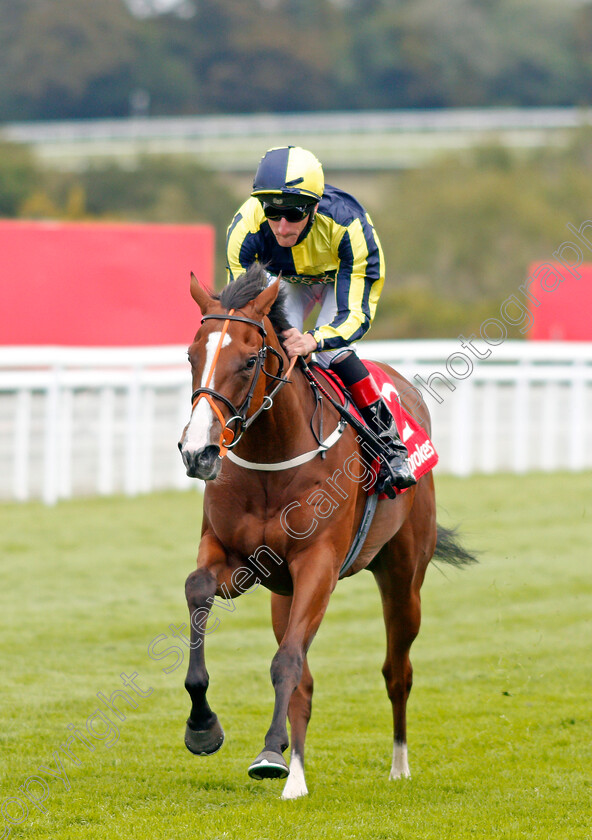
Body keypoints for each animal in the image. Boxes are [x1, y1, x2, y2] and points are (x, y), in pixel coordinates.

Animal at [178, 262, 474, 800]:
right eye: (191, 355)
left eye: (249, 361)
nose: (198, 452)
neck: (273, 457)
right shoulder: (236, 558)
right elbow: (199, 589)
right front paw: (205, 727)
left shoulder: (318, 563)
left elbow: (286, 663)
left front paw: (271, 759)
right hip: (284, 593)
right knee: (305, 675)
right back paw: (289, 762)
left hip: (404, 578)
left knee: (397, 671)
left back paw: (397, 765)